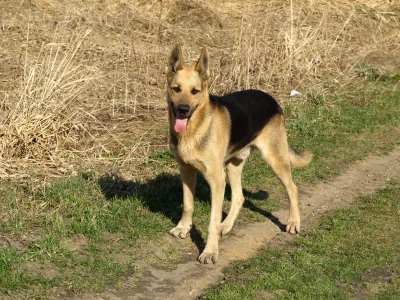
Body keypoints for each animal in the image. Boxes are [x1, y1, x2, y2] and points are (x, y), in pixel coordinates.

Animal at [166, 43, 312, 264]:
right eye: (176, 89)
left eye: (195, 91)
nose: (183, 109)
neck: (195, 128)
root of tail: (273, 100)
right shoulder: (186, 171)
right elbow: (187, 205)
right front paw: (183, 228)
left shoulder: (216, 180)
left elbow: (211, 221)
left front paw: (210, 251)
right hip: (233, 166)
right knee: (239, 197)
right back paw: (225, 225)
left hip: (274, 160)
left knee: (292, 188)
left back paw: (293, 222)